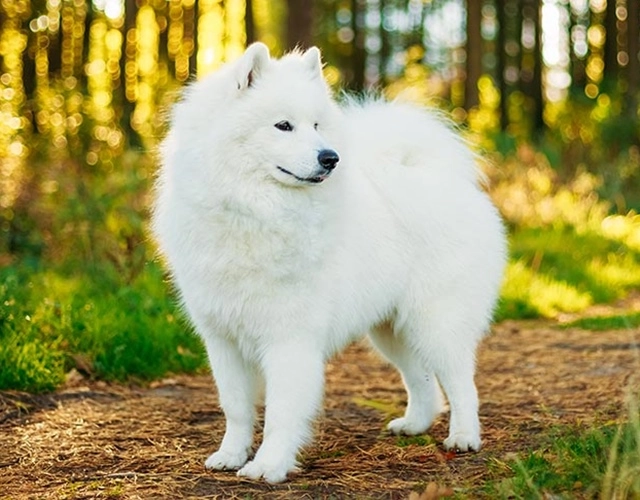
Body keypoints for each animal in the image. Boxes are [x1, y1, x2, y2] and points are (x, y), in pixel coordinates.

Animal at [152, 44, 508, 484]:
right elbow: (235, 407)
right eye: (283, 125)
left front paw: (268, 465)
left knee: (462, 384)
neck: (253, 208)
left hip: (436, 322)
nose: (330, 157)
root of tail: (444, 180)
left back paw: (464, 437)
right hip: (392, 330)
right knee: (422, 381)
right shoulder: (223, 338)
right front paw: (231, 455)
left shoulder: (289, 338)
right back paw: (414, 425)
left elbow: (280, 412)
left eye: (317, 125)